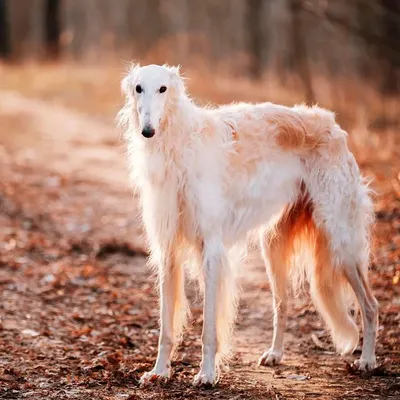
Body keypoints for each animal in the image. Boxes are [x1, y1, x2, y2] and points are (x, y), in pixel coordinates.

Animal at [118, 64, 378, 386]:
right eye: (138, 88)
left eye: (163, 89)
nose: (148, 131)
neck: (178, 145)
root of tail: (333, 125)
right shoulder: (168, 249)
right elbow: (166, 327)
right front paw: (159, 371)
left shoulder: (211, 248)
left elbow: (209, 329)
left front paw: (206, 374)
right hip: (274, 245)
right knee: (282, 304)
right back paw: (275, 353)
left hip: (341, 240)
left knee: (370, 305)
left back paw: (368, 359)